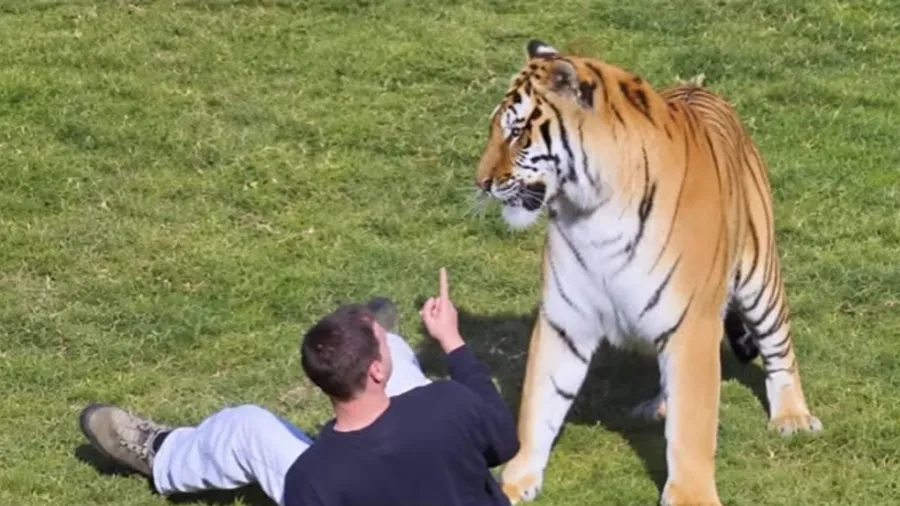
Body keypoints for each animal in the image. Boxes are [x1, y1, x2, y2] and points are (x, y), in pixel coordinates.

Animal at [473, 39, 822, 506]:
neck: (593, 211)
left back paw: (792, 417)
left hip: (759, 277)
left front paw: (691, 495)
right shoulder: (565, 319)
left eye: (515, 132)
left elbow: (692, 425)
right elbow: (539, 403)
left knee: (779, 347)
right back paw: (658, 405)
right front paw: (513, 481)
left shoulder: (692, 322)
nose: (481, 182)